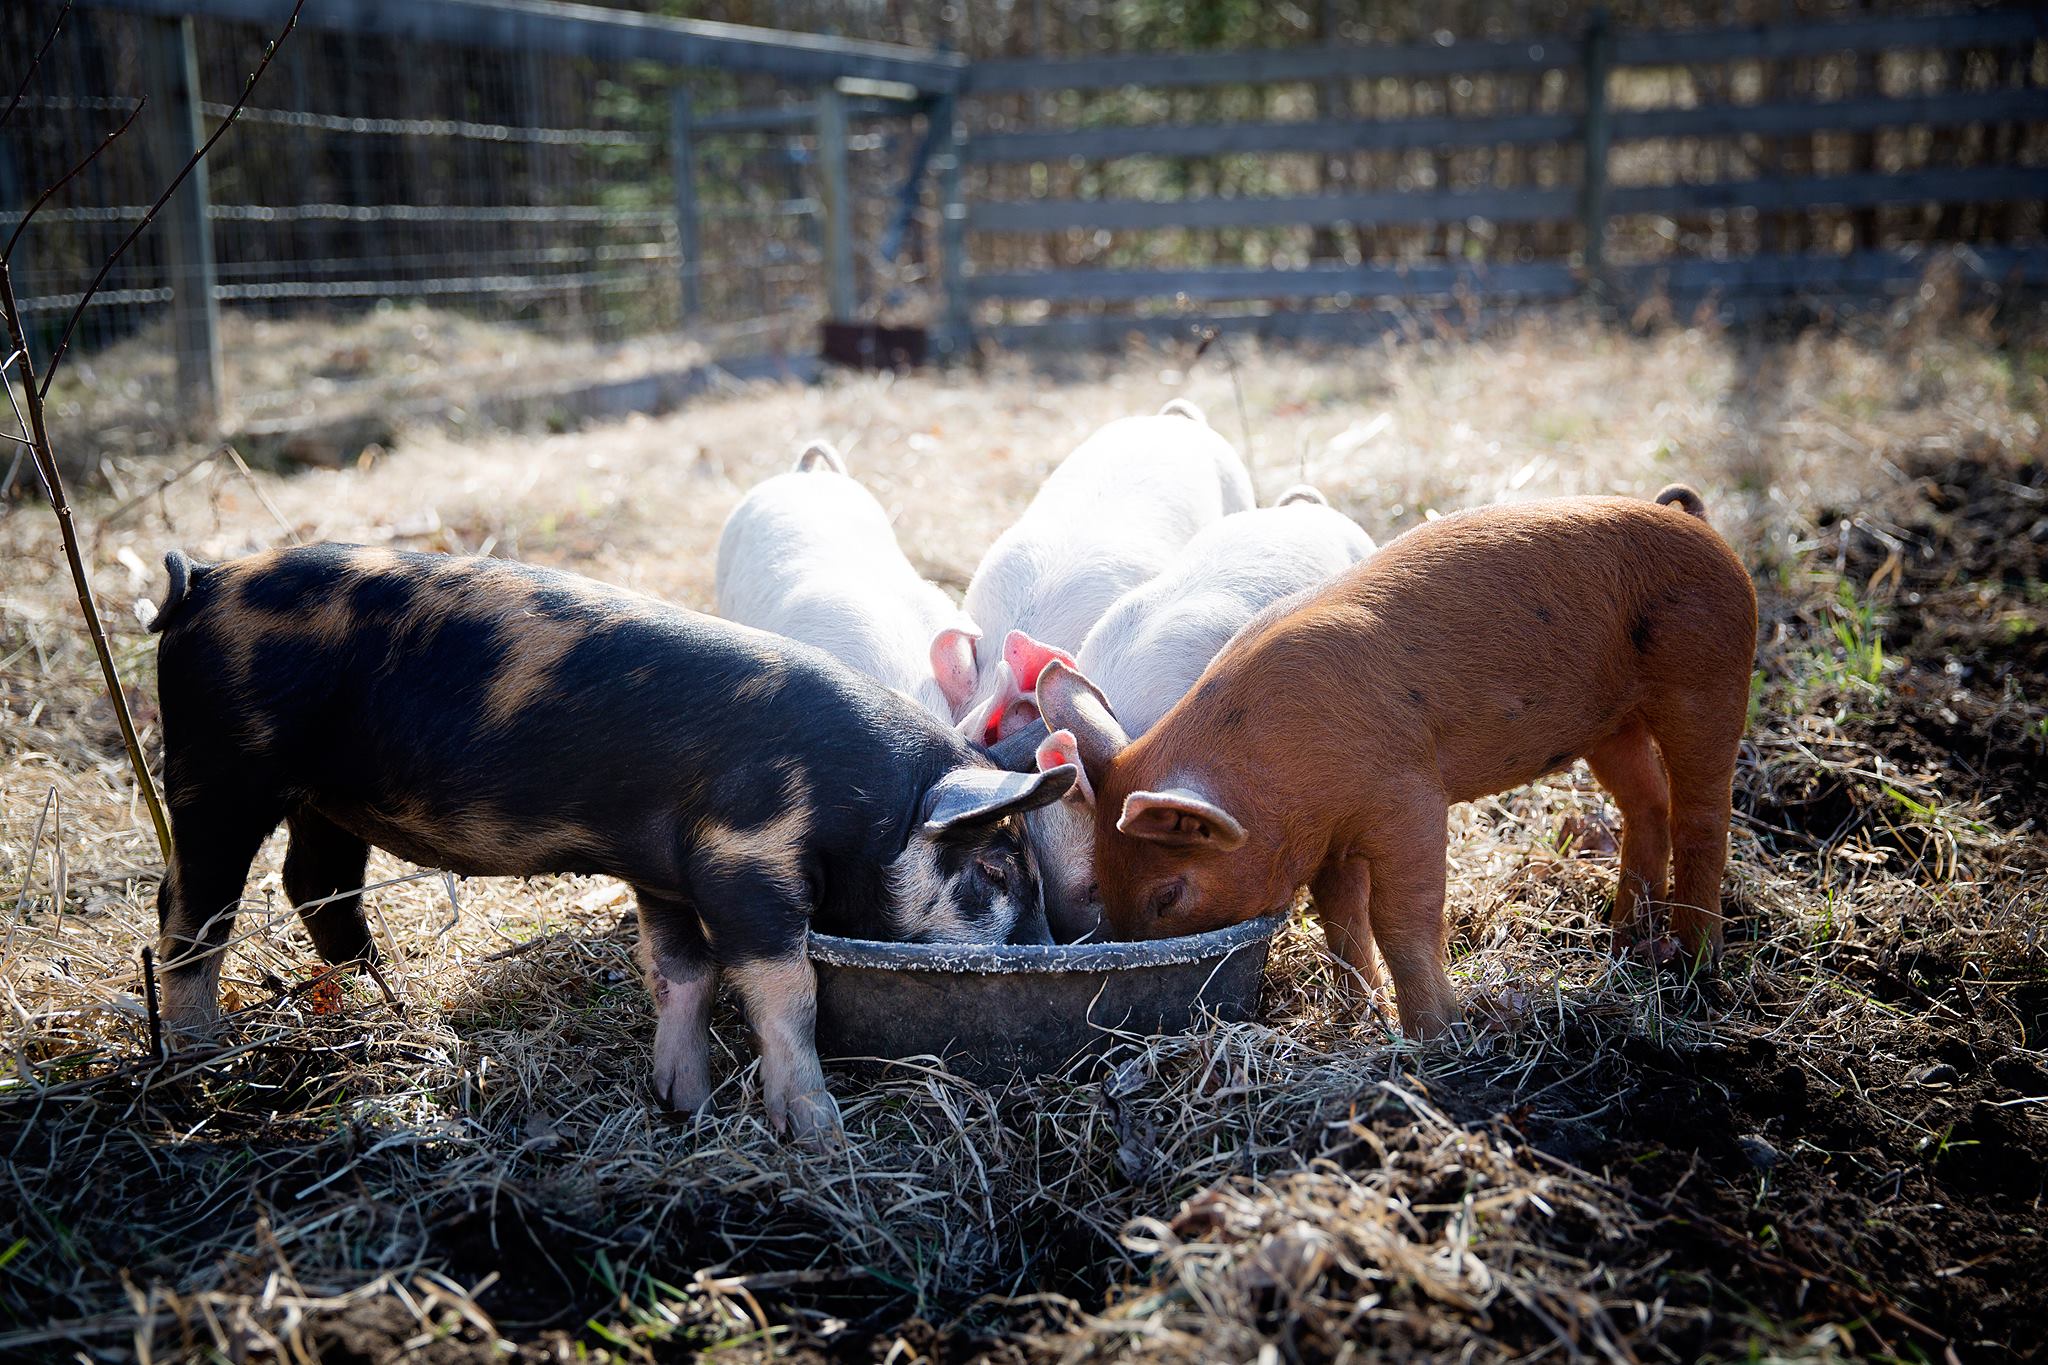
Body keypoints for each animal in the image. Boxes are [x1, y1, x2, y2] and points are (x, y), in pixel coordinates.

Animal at [147, 544, 1074, 1143]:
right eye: (994, 865)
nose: (1045, 948)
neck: (865, 801)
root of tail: (205, 583)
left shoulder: (665, 870)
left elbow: (682, 973)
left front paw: (683, 1105)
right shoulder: (743, 858)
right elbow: (788, 991)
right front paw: (819, 1135)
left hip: (322, 800)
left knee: (314, 882)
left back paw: (400, 1008)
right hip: (217, 771)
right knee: (190, 914)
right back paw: (203, 1066)